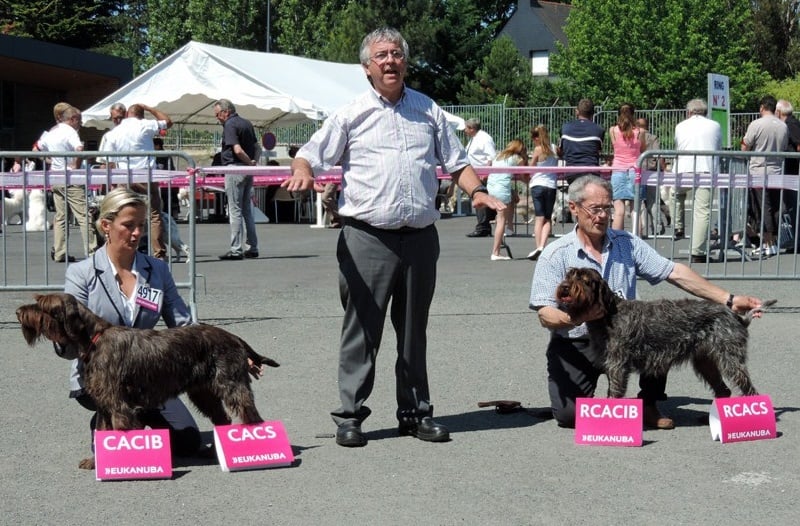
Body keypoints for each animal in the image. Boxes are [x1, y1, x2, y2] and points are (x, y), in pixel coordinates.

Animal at [16, 293, 279, 469]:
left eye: (42, 305)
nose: (18, 312)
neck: (94, 339)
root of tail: (233, 336)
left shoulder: (117, 404)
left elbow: (120, 432)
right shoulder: (103, 403)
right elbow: (102, 431)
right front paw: (95, 461)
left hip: (231, 385)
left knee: (250, 414)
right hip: (203, 393)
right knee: (223, 419)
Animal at [555, 267, 774, 400]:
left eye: (585, 280)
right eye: (569, 276)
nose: (564, 287)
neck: (608, 314)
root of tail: (737, 317)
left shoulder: (617, 365)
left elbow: (615, 393)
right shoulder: (611, 363)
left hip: (730, 360)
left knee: (748, 388)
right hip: (705, 362)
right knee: (724, 390)